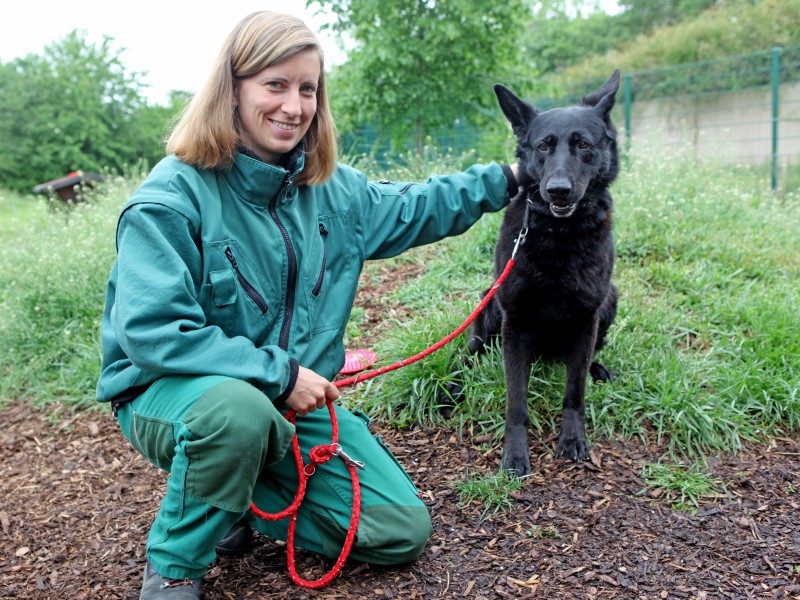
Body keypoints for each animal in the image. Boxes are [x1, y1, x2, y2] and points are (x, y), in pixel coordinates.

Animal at [446, 70, 620, 476]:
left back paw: (598, 368)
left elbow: (574, 391)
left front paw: (572, 437)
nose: (557, 190)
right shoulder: (516, 321)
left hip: (610, 300)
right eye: (543, 146)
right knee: (471, 351)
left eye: (583, 144)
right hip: (489, 304)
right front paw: (514, 452)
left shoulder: (586, 318)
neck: (559, 235)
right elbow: (516, 401)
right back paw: (454, 384)